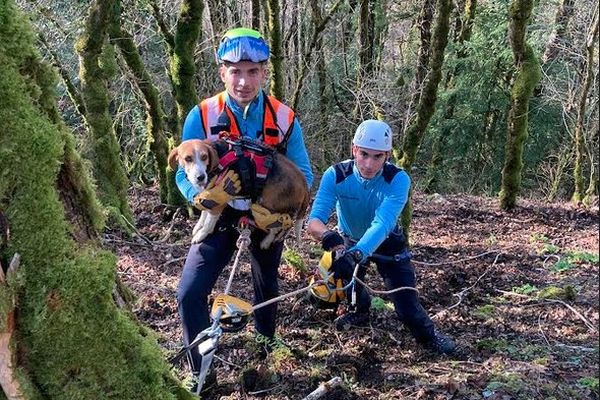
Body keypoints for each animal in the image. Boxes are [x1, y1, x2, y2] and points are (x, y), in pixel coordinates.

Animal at [169, 139, 310, 248]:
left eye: (204, 157)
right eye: (188, 159)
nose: (200, 177)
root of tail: (304, 182)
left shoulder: (219, 202)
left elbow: (209, 223)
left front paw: (201, 234)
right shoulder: (208, 195)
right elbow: (204, 212)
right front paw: (198, 226)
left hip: (269, 206)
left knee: (281, 226)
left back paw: (266, 242)